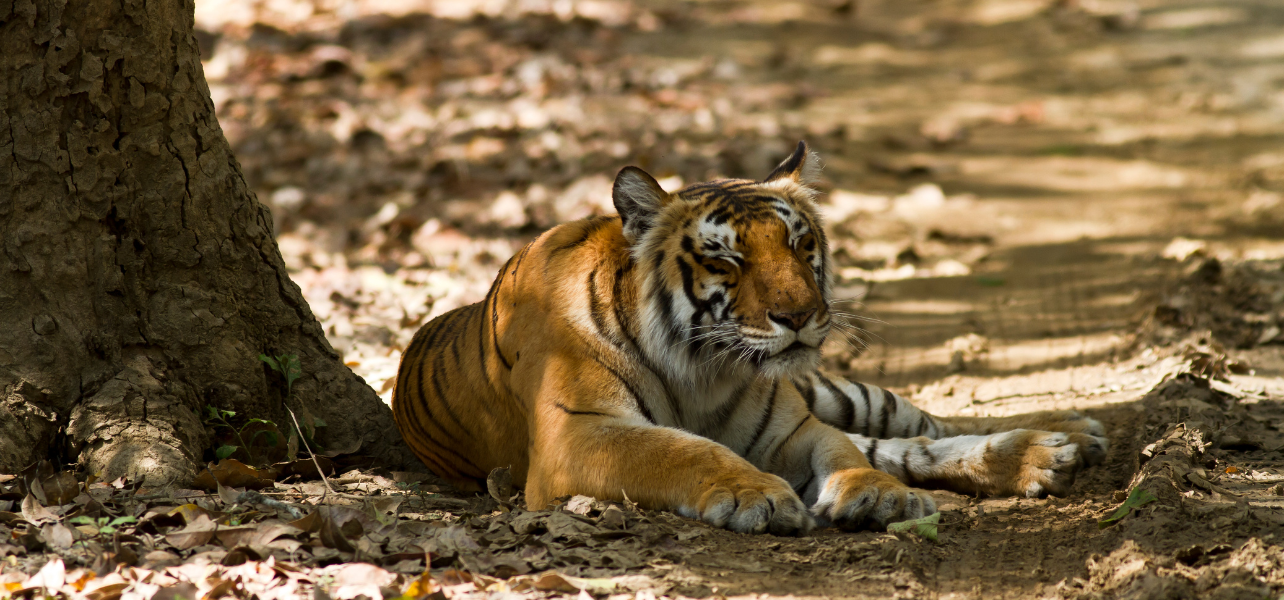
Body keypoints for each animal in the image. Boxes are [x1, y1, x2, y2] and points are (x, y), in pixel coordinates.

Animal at [392, 141, 1109, 535]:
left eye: (799, 243)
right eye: (727, 260)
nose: (801, 315)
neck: (701, 369)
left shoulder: (792, 427)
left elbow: (844, 452)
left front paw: (874, 494)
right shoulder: (579, 434)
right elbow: (681, 450)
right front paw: (755, 495)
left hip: (834, 392)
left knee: (915, 428)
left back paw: (1060, 439)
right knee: (899, 444)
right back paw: (1054, 451)